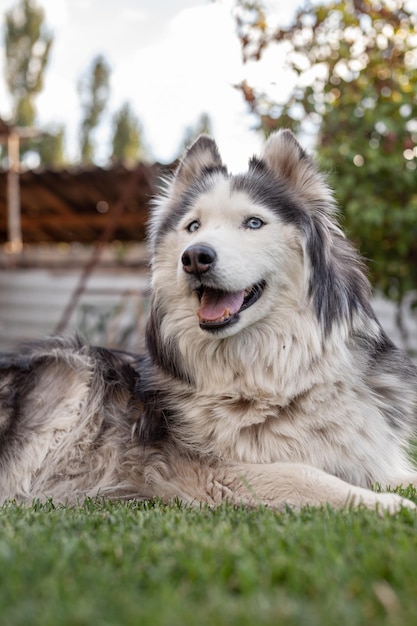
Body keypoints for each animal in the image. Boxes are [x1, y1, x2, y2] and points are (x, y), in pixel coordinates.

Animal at [0, 128, 416, 512]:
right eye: (193, 226)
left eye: (253, 223)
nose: (195, 257)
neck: (274, 376)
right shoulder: (218, 473)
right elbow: (310, 476)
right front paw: (394, 507)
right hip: (70, 369)